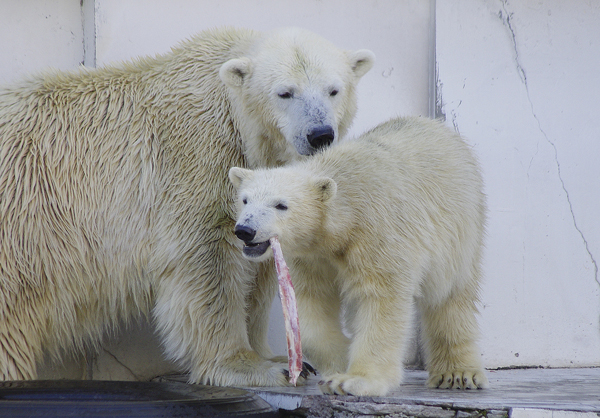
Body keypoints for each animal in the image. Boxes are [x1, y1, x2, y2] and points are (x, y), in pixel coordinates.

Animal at [0, 27, 376, 386]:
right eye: (285, 93)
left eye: (334, 90)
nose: (320, 134)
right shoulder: (199, 158)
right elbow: (208, 260)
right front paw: (248, 366)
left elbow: (260, 262)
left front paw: (278, 357)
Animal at [230, 116, 488, 396]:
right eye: (245, 200)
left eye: (281, 205)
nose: (245, 230)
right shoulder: (312, 255)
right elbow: (311, 302)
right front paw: (340, 362)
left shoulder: (379, 233)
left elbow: (380, 299)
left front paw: (353, 380)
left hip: (458, 222)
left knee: (450, 293)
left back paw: (457, 373)